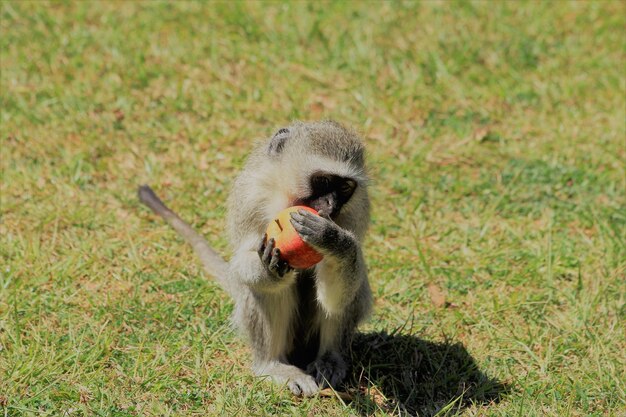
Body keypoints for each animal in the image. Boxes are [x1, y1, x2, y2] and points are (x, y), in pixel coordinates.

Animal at [138, 118, 370, 394]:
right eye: (323, 181)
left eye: (344, 187)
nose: (331, 206)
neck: (283, 198)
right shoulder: (250, 196)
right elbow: (241, 262)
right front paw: (268, 267)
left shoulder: (354, 213)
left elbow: (335, 298)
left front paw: (333, 240)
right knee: (265, 289)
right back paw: (272, 364)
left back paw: (329, 359)